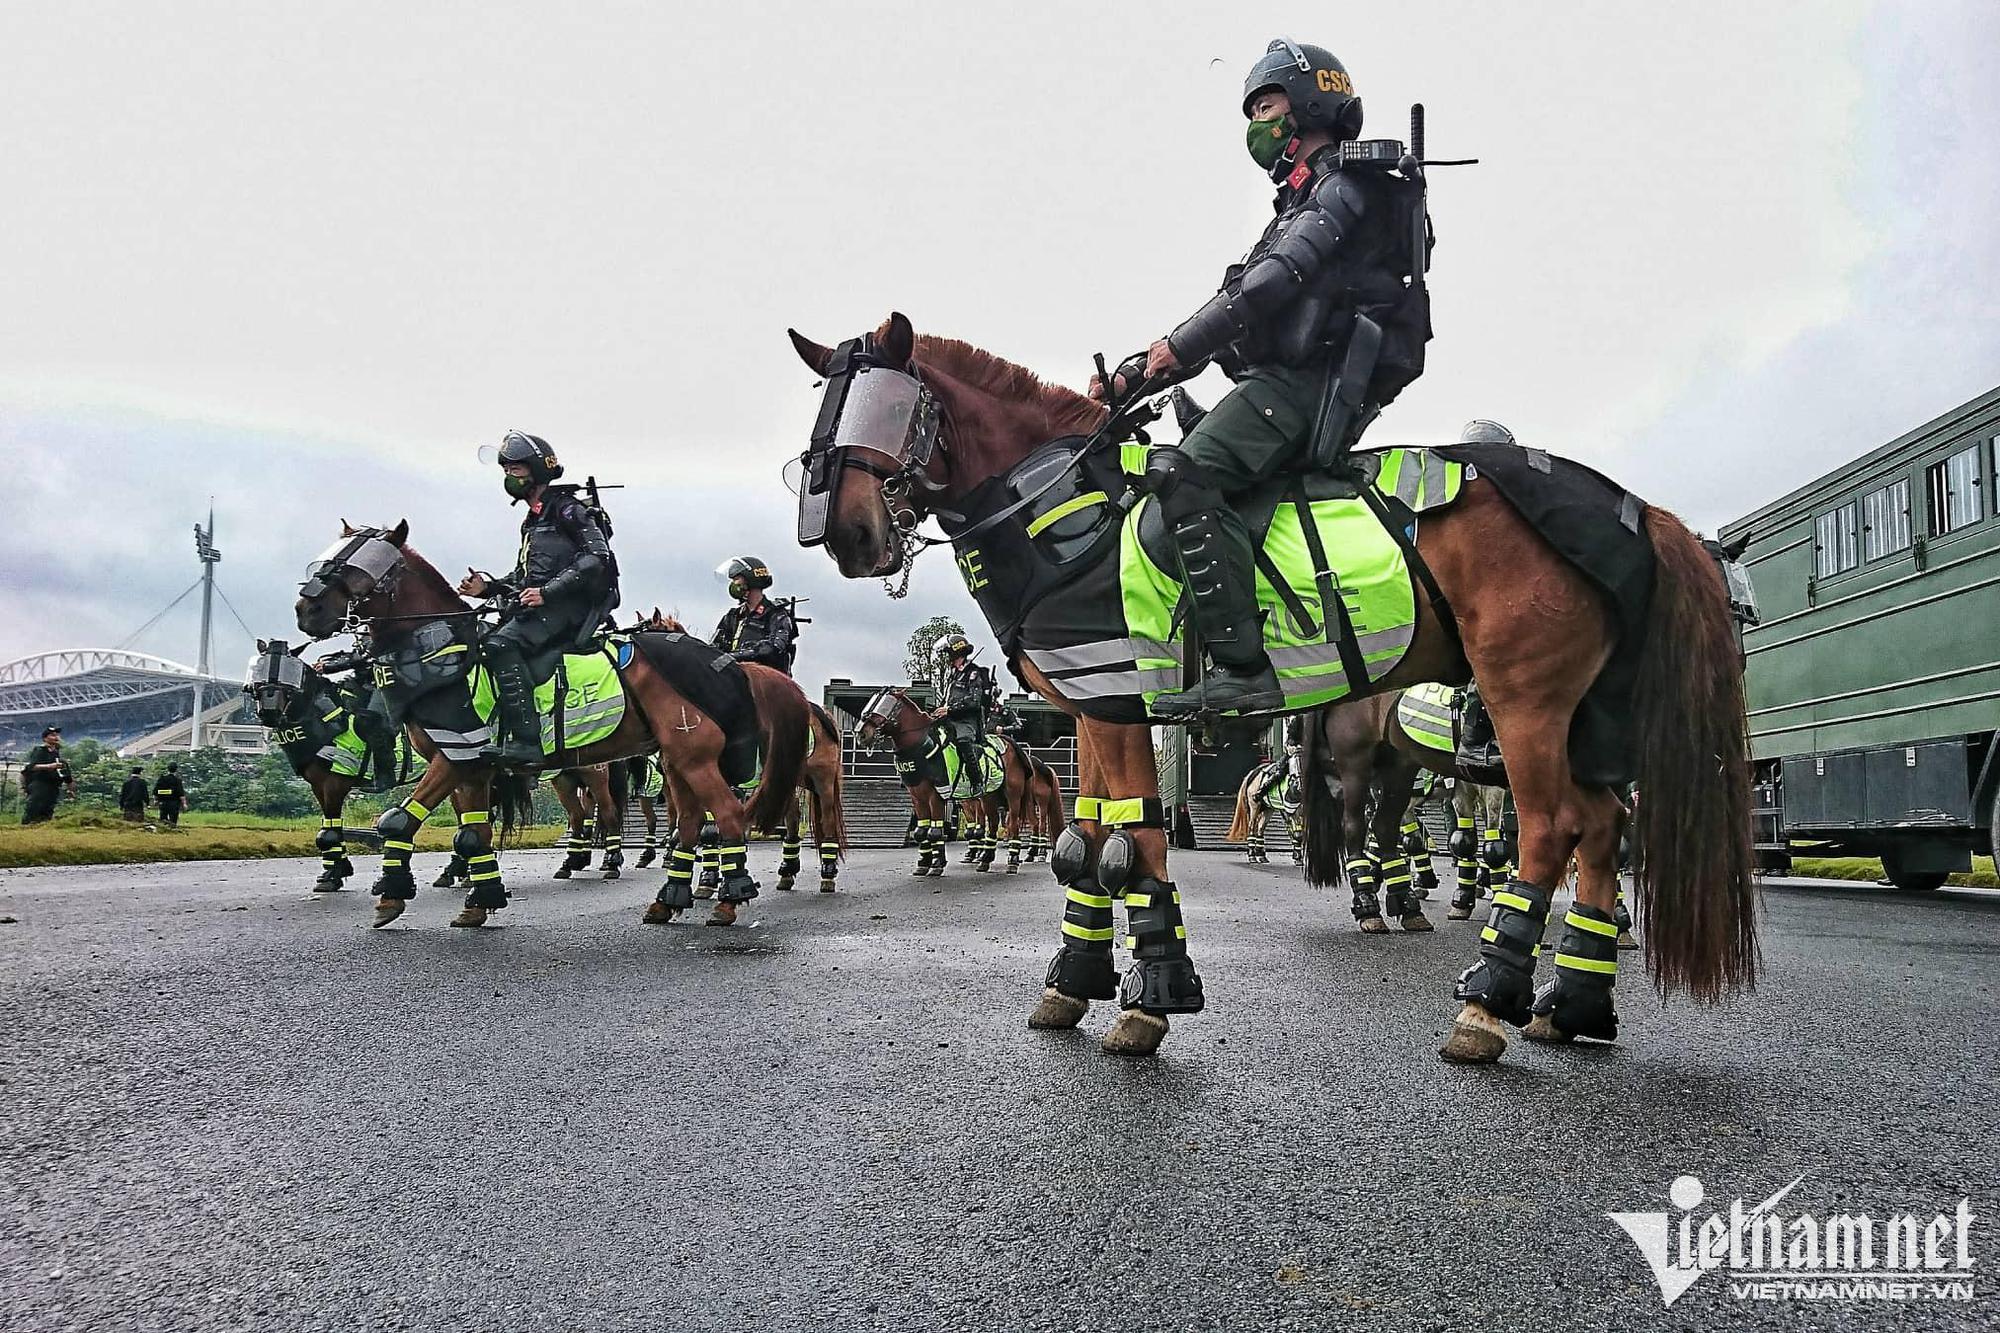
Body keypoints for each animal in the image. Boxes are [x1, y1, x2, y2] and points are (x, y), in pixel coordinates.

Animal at [292, 520, 800, 924]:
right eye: (325, 558)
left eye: (357, 565)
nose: (306, 609)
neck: (445, 655)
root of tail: (728, 663)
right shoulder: (467, 765)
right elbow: (469, 834)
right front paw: (478, 897)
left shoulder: (457, 753)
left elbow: (399, 822)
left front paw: (394, 896)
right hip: (675, 761)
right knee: (690, 822)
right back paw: (668, 896)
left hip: (690, 759)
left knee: (725, 816)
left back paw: (727, 897)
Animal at [780, 312, 1752, 1056]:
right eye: (819, 421)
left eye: (888, 408)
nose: (844, 534)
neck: (1066, 516)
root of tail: (1630, 505)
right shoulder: (1090, 710)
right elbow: (1082, 843)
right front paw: (1076, 981)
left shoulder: (1122, 704)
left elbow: (1134, 841)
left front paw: (1150, 998)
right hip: (1580, 717)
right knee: (1605, 827)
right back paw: (1573, 1001)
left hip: (1524, 703)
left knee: (1551, 828)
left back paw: (1487, 1002)